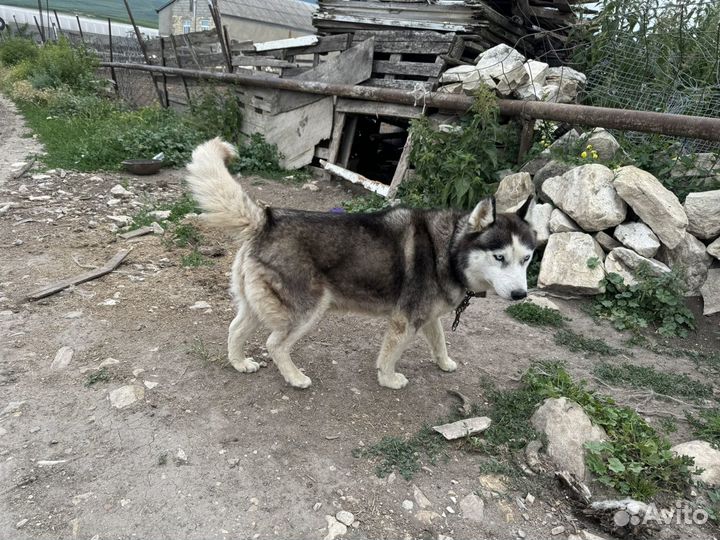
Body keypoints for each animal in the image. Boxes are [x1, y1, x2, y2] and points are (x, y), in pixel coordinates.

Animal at [186, 137, 536, 390]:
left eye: (527, 258)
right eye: (500, 257)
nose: (521, 295)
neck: (448, 249)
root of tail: (267, 218)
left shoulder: (427, 316)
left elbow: (440, 342)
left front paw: (445, 363)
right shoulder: (405, 320)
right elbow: (390, 355)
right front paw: (389, 379)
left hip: (257, 305)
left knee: (235, 329)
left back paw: (239, 363)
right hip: (307, 311)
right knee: (275, 344)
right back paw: (295, 378)